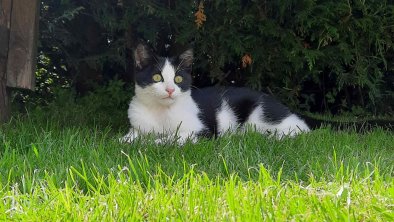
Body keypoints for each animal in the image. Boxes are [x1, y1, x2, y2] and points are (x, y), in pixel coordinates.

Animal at [121, 43, 310, 144]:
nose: (170, 89)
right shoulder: (138, 124)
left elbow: (174, 138)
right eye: (156, 77)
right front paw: (128, 141)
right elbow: (128, 138)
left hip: (260, 115)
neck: (162, 113)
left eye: (178, 79)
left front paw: (153, 142)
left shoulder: (202, 130)